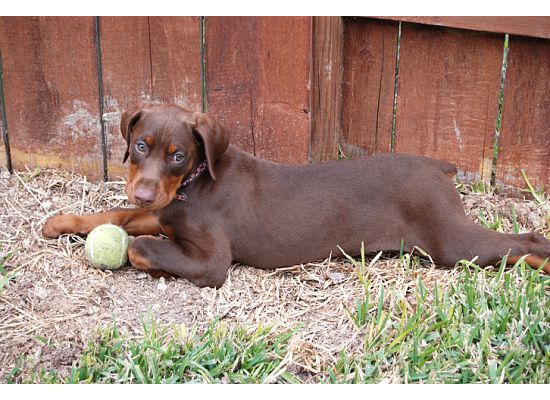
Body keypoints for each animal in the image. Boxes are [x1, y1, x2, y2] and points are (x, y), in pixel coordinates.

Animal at [43, 101, 550, 286]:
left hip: (448, 240)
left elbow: (142, 245)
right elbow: (115, 214)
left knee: (523, 242)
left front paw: (139, 255)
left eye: (178, 155)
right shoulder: (166, 212)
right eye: (141, 145)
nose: (146, 193)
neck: (191, 187)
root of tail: (435, 165)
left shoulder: (210, 260)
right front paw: (61, 222)